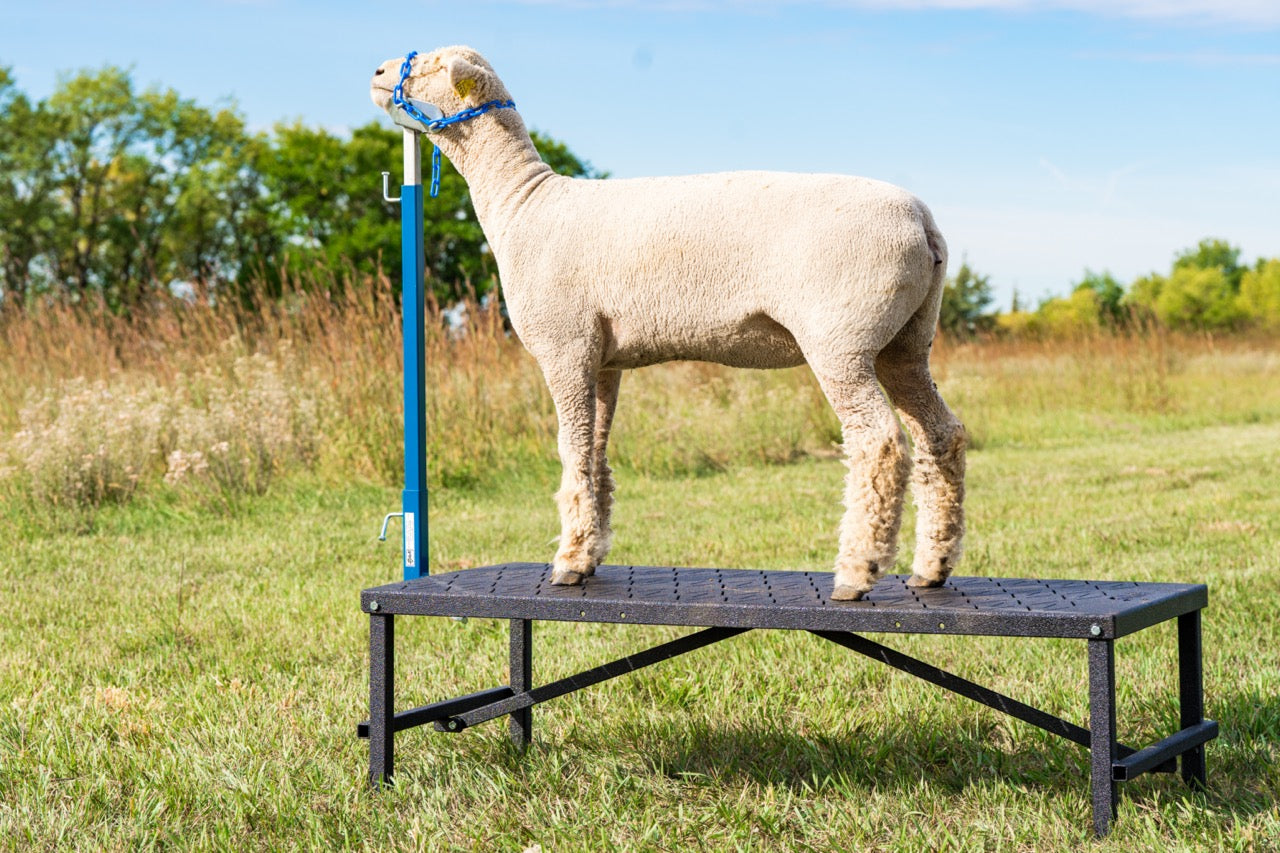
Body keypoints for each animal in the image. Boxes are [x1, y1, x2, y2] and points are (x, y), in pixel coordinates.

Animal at [370, 46, 967, 600]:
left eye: (432, 63)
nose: (376, 73)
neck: (524, 205)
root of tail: (924, 222)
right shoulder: (602, 358)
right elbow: (595, 453)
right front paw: (589, 554)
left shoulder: (564, 345)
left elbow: (571, 451)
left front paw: (567, 562)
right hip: (906, 341)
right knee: (942, 435)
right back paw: (931, 566)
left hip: (841, 337)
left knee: (879, 444)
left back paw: (856, 573)